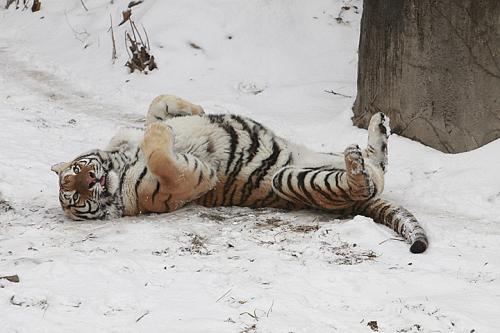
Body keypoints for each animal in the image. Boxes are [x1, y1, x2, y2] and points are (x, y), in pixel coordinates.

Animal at [52, 94, 430, 253]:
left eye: (78, 171)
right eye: (75, 197)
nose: (90, 182)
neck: (120, 163)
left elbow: (156, 106)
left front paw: (192, 111)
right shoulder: (183, 182)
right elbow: (160, 152)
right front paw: (161, 134)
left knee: (377, 164)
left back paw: (378, 123)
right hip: (290, 179)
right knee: (367, 183)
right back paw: (357, 164)